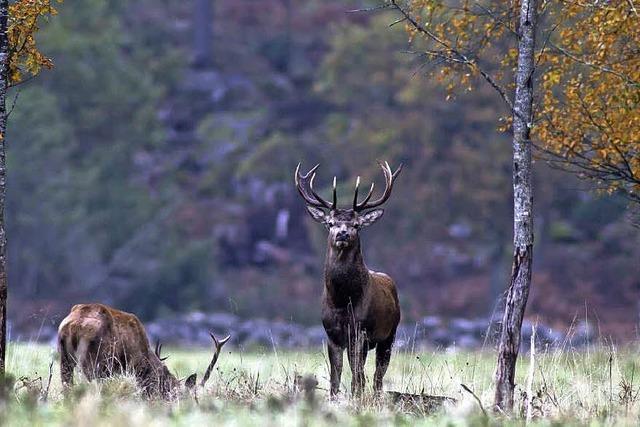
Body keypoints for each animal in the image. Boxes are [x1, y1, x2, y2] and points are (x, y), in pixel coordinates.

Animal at [57, 304, 231, 398]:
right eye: (177, 395)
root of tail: (73, 324)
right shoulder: (133, 366)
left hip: (64, 358)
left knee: (66, 385)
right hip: (95, 361)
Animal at [294, 161, 402, 398]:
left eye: (356, 225)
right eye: (330, 222)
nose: (342, 234)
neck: (343, 301)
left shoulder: (360, 332)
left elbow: (357, 376)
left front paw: (356, 398)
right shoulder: (331, 334)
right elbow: (336, 375)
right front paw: (334, 398)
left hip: (390, 334)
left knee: (377, 375)